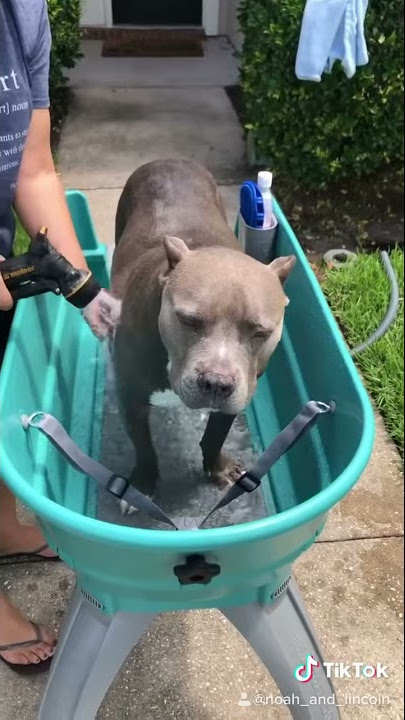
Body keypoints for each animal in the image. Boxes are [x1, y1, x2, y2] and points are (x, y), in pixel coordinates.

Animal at [104, 160, 294, 500]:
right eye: (189, 320)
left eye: (259, 332)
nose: (216, 382)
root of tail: (167, 160)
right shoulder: (131, 397)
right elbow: (144, 447)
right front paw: (143, 485)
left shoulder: (239, 393)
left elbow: (216, 434)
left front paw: (217, 467)